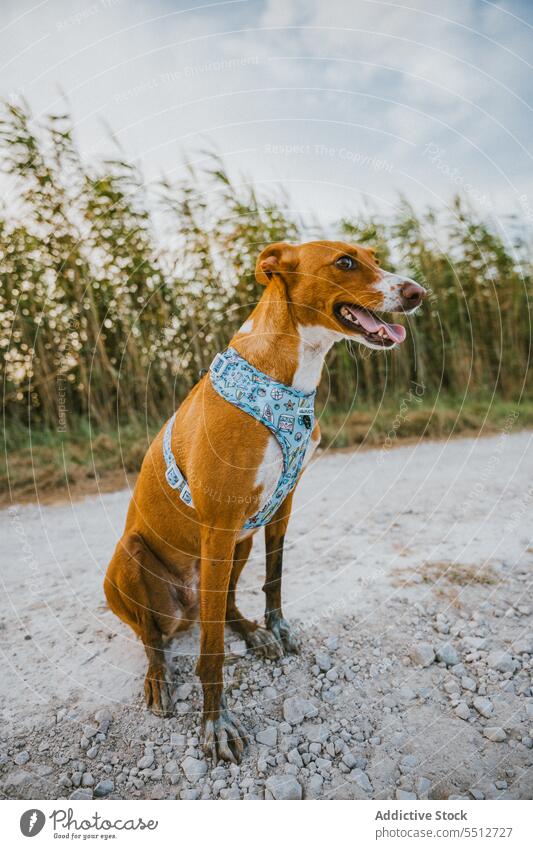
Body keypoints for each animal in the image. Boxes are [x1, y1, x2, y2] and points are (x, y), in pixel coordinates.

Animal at [104, 238, 426, 760]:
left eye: (375, 257)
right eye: (345, 262)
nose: (418, 293)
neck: (286, 376)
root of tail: (185, 607)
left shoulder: (281, 506)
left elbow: (274, 579)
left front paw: (275, 629)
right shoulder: (218, 524)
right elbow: (211, 652)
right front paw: (214, 723)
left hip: (241, 544)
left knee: (225, 605)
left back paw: (251, 631)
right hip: (135, 556)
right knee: (154, 635)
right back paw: (158, 676)